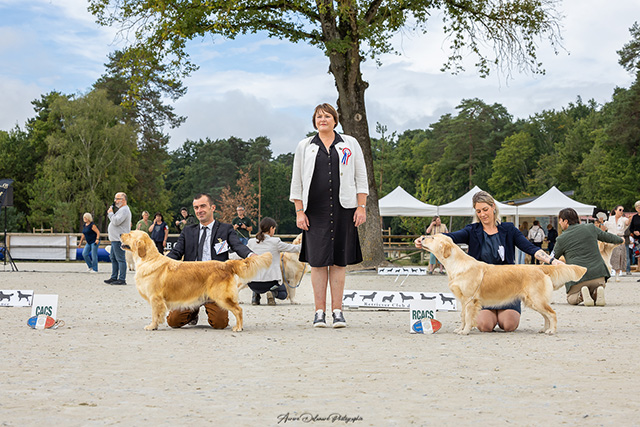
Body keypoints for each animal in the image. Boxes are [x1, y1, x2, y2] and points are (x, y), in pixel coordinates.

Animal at [121, 230, 272, 331]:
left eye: (130, 234)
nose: (121, 234)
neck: (148, 259)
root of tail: (226, 264)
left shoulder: (155, 297)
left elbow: (155, 314)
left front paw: (152, 326)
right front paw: (155, 325)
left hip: (221, 297)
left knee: (238, 309)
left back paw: (238, 327)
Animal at [421, 234, 587, 335]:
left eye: (432, 237)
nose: (422, 237)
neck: (456, 264)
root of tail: (540, 267)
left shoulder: (470, 300)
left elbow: (467, 317)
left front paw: (465, 331)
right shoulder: (463, 300)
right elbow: (462, 316)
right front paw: (460, 329)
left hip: (537, 300)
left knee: (552, 314)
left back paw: (551, 331)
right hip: (533, 301)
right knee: (546, 315)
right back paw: (544, 329)